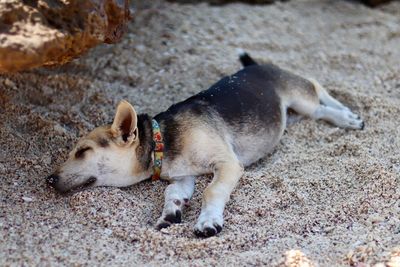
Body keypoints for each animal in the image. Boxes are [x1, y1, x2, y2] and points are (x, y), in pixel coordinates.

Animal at [46, 51, 362, 238]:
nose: (48, 180)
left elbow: (212, 191)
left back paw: (348, 116)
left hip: (298, 94)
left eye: (83, 151)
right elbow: (173, 192)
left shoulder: (227, 164)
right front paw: (171, 213)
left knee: (316, 89)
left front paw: (207, 222)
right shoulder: (183, 176)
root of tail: (258, 65)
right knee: (316, 108)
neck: (163, 141)